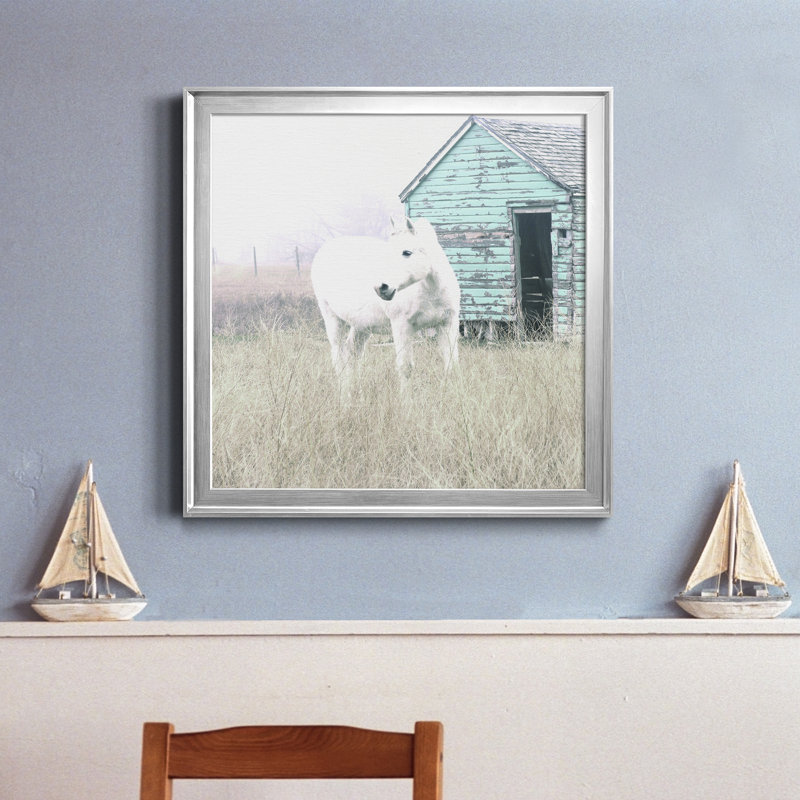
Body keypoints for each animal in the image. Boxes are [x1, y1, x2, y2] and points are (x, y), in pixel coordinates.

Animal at [311, 216, 460, 387]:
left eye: (407, 252)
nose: (380, 287)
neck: (431, 291)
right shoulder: (401, 325)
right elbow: (405, 368)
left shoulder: (448, 324)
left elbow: (451, 364)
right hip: (332, 319)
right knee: (338, 357)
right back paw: (344, 391)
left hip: (361, 326)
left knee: (353, 352)